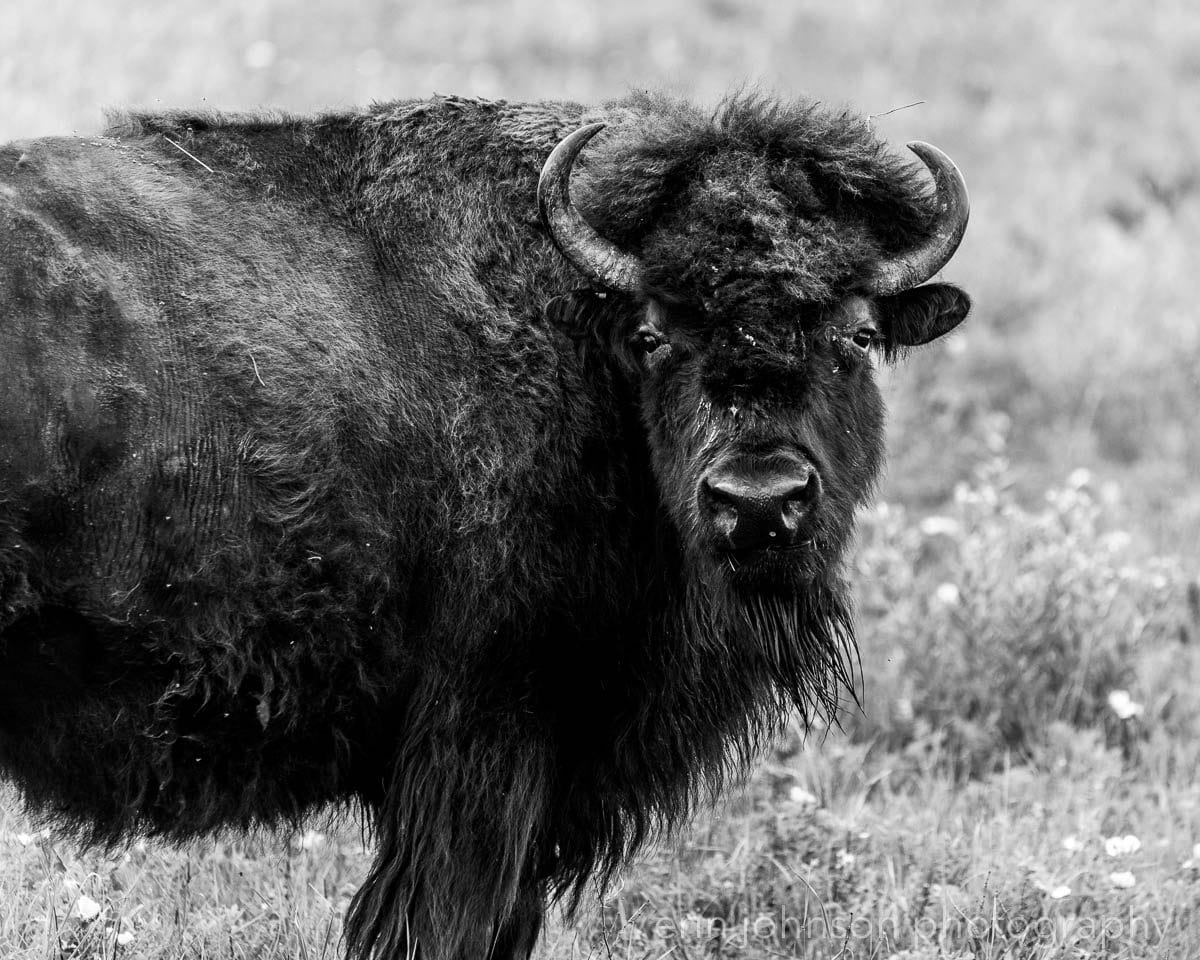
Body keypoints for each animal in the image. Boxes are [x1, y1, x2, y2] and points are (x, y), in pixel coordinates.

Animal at [0, 91, 969, 960]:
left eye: (855, 333)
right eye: (653, 334)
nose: (759, 498)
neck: (580, 340)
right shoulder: (486, 735)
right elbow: (444, 922)